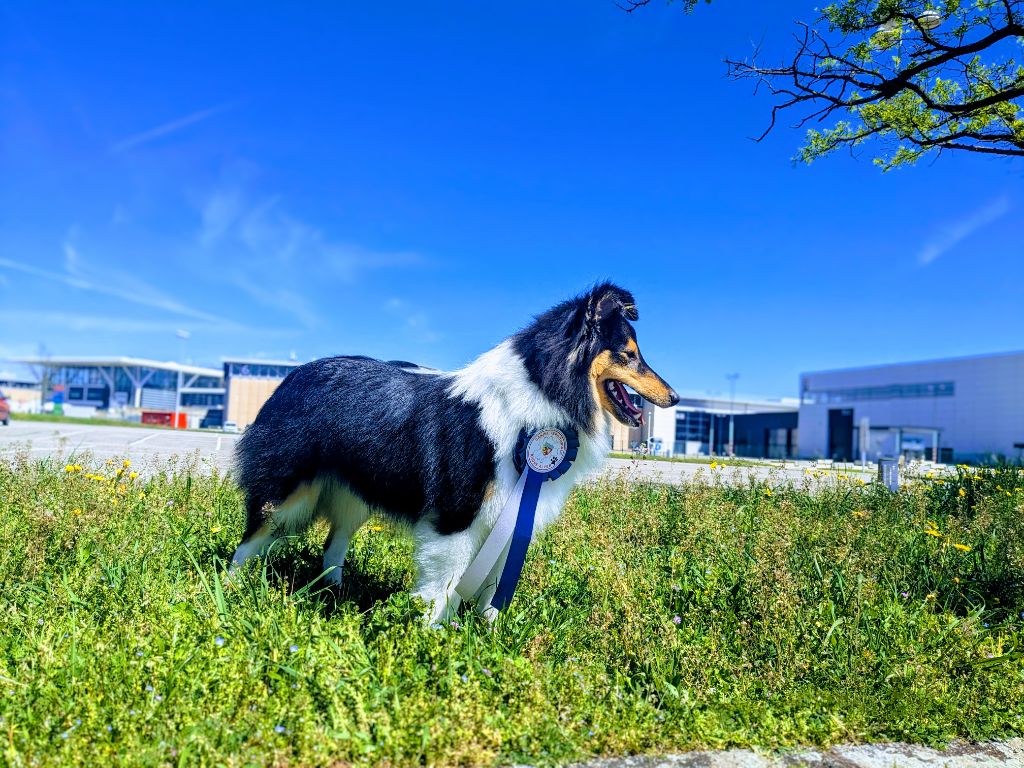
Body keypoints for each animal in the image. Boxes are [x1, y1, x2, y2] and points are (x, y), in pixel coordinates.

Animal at [232, 286, 679, 622]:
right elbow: (442, 587)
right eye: (628, 354)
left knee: (333, 544)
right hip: (286, 492)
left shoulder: (513, 515)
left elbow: (495, 589)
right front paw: (430, 640)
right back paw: (233, 587)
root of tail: (294, 374)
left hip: (353, 495)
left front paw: (490, 637)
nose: (674, 398)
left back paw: (335, 591)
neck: (544, 392)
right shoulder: (456, 518)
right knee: (250, 537)